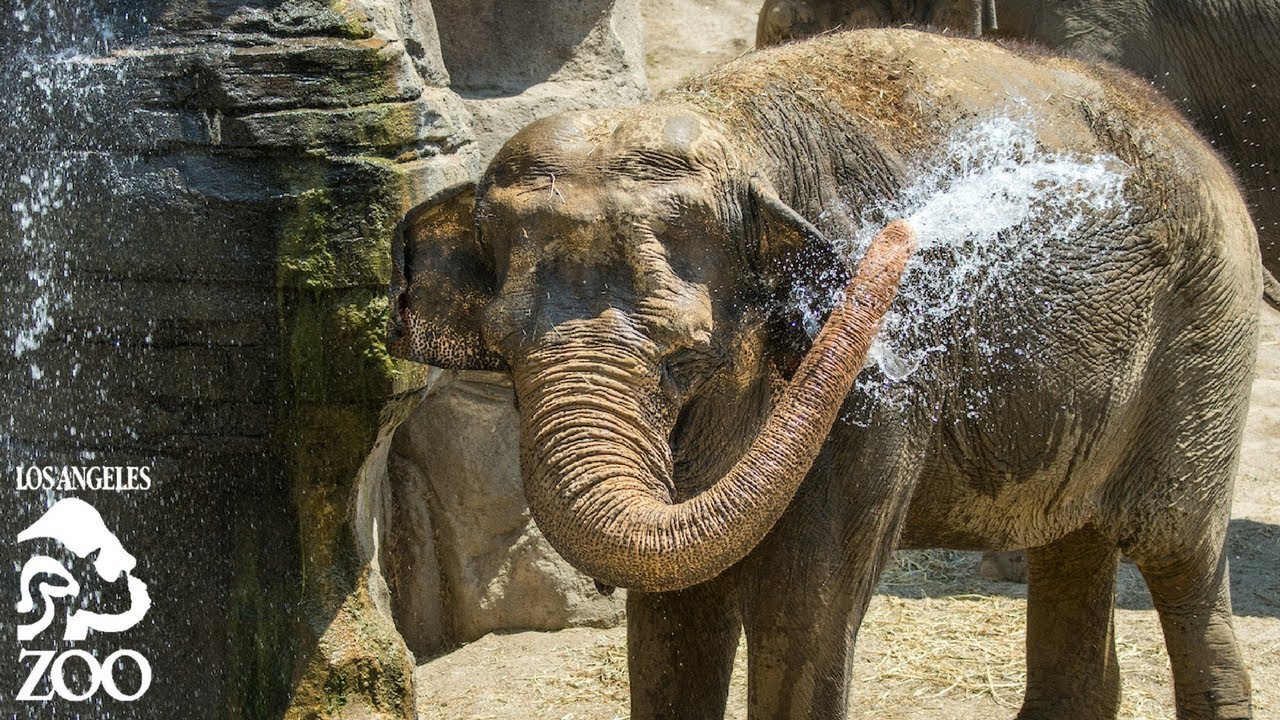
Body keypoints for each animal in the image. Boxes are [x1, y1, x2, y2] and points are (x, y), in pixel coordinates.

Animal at [389, 30, 1259, 720]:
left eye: (686, 358)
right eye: (503, 355)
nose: (905, 234)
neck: (734, 128)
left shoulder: (877, 388)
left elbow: (802, 606)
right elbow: (676, 616)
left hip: (1206, 335)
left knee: (1177, 553)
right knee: (1074, 540)